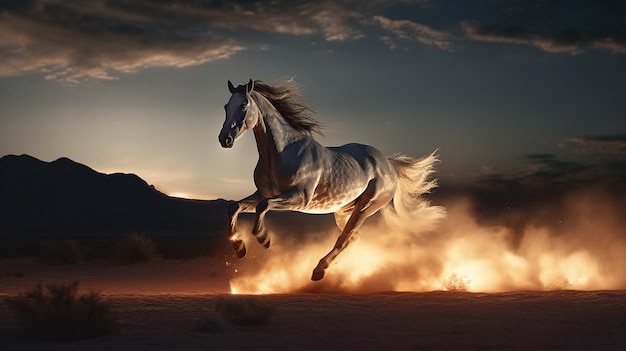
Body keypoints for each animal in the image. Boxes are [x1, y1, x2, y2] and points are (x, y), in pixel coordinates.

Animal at [217, 78, 442, 282]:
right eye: (226, 106)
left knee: (344, 239)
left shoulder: (300, 198)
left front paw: (264, 239)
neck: (281, 153)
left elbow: (263, 206)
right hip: (343, 211)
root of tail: (387, 164)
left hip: (365, 208)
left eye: (244, 105)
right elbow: (234, 207)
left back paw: (318, 271)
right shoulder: (262, 193)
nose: (224, 139)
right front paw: (239, 248)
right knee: (352, 238)